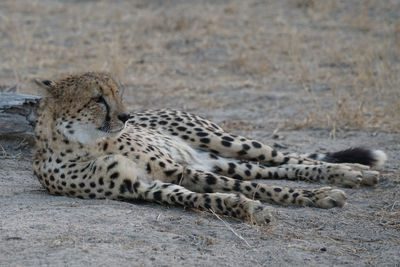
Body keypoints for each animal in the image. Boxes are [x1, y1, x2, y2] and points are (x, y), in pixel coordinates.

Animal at [33, 72, 384, 225]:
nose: (126, 116)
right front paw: (245, 209)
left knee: (288, 158)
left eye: (117, 93)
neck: (85, 143)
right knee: (274, 170)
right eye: (97, 98)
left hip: (225, 142)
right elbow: (201, 196)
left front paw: (317, 196)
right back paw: (352, 173)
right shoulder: (143, 185)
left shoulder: (175, 169)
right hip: (222, 161)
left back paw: (352, 171)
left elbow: (255, 187)